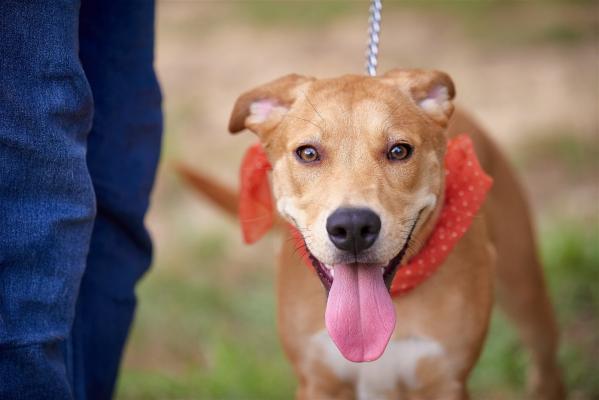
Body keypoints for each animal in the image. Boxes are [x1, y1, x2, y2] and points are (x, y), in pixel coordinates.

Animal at [180, 70, 564, 398]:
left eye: (399, 150)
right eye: (308, 153)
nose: (352, 226)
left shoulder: (445, 382)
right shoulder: (318, 382)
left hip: (525, 287)